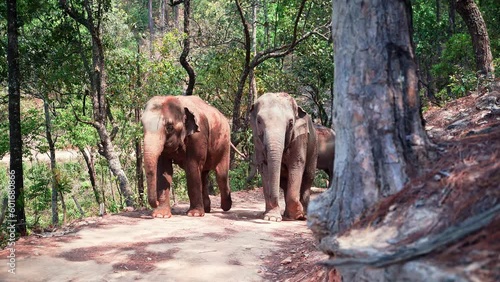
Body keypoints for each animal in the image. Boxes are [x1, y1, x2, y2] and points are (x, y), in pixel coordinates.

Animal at [249, 92, 316, 220]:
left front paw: (298, 214)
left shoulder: (299, 138)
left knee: (308, 178)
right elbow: (265, 167)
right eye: (259, 121)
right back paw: (286, 214)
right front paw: (271, 217)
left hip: (314, 148)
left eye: (290, 123)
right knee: (285, 184)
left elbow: (296, 165)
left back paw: (303, 214)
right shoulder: (257, 140)